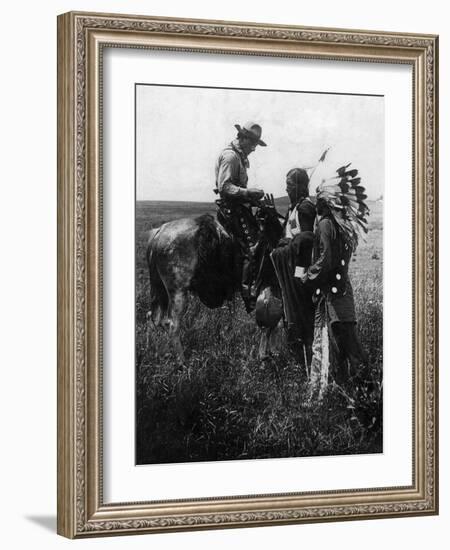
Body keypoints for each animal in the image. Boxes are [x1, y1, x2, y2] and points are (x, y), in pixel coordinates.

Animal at [146, 203, 284, 362]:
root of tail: (159, 233)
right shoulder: (273, 288)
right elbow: (271, 324)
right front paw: (266, 354)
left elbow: (274, 324)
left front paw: (272, 352)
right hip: (178, 292)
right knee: (172, 325)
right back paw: (182, 361)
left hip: (160, 290)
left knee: (153, 318)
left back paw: (154, 351)